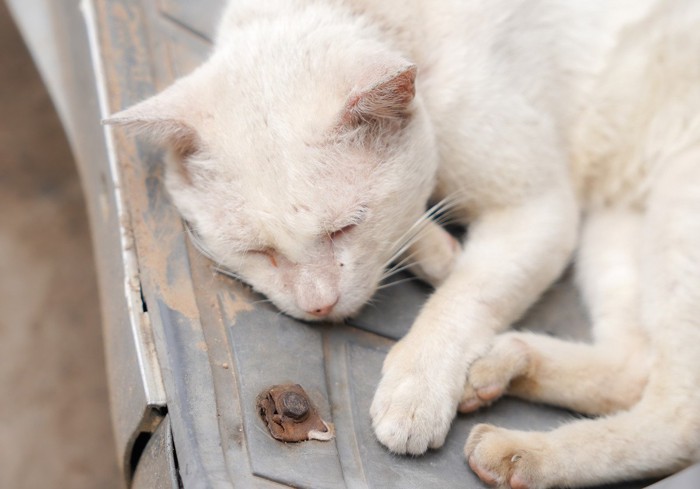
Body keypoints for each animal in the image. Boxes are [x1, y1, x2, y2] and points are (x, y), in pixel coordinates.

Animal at [106, 1, 700, 486]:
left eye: (345, 227)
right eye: (259, 251)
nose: (318, 304)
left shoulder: (539, 208)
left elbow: (463, 298)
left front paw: (417, 389)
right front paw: (438, 250)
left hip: (676, 212)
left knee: (678, 414)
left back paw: (519, 450)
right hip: (616, 226)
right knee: (632, 368)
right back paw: (500, 367)